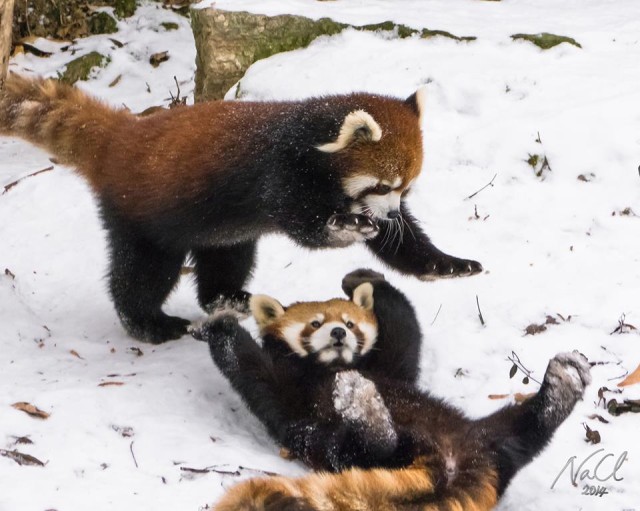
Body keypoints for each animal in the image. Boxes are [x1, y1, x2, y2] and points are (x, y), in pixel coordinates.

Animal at [0, 74, 480, 344]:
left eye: (407, 188)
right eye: (383, 185)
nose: (390, 215)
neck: (308, 140)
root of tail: (122, 137)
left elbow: (404, 245)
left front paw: (446, 264)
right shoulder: (279, 172)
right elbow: (305, 228)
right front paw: (346, 226)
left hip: (222, 230)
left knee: (226, 262)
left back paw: (231, 297)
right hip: (143, 213)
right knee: (142, 274)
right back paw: (149, 323)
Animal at [198, 268, 592, 511]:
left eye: (349, 324)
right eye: (315, 324)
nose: (337, 334)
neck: (334, 367)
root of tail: (453, 462)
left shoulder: (392, 368)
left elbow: (405, 330)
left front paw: (363, 277)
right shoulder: (290, 395)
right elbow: (254, 373)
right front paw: (221, 322)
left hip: (482, 434)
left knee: (523, 431)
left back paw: (562, 388)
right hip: (334, 444)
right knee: (365, 448)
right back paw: (366, 411)